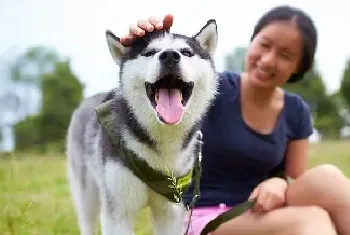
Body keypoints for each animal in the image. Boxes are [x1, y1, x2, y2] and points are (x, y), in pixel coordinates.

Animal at [66, 20, 219, 235]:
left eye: (186, 52)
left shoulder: (170, 211)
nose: (169, 56)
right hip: (87, 194)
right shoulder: (118, 212)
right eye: (150, 52)